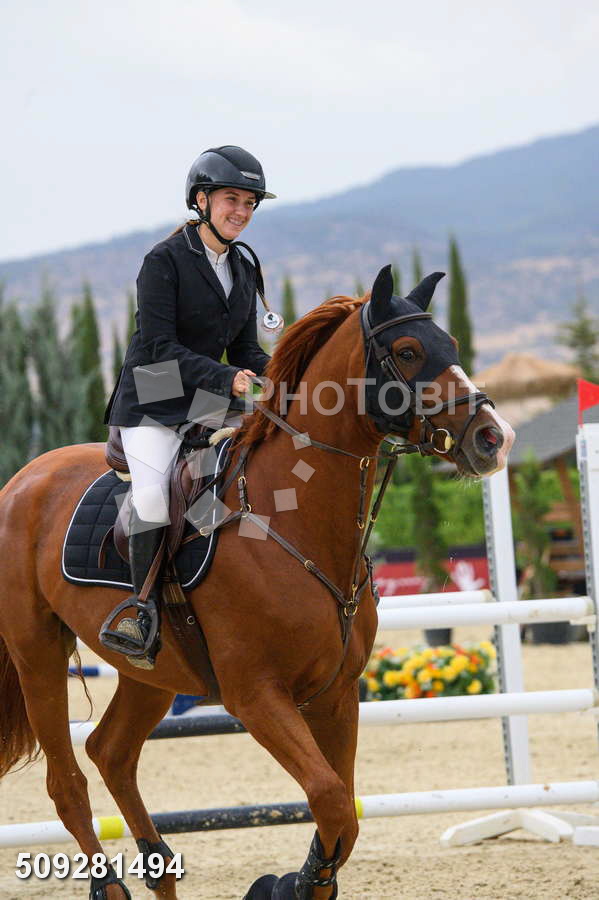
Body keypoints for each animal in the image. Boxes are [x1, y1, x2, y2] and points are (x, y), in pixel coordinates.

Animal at [0, 265, 514, 899]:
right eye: (408, 351)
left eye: (453, 346)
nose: (494, 438)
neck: (293, 522)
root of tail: (22, 479)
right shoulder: (257, 696)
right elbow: (329, 797)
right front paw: (292, 883)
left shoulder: (336, 695)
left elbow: (342, 813)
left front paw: (305, 881)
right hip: (38, 655)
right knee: (66, 782)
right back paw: (110, 885)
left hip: (153, 673)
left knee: (111, 752)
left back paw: (158, 865)